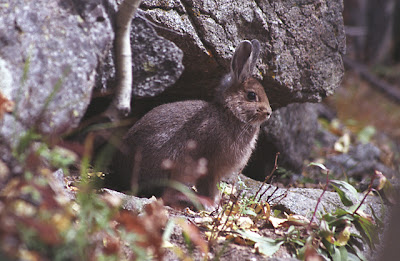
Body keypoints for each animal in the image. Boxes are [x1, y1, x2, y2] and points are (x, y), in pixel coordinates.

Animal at [114, 39, 274, 207]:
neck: (230, 112)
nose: (269, 113)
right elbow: (210, 188)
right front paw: (212, 205)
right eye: (251, 95)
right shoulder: (210, 168)